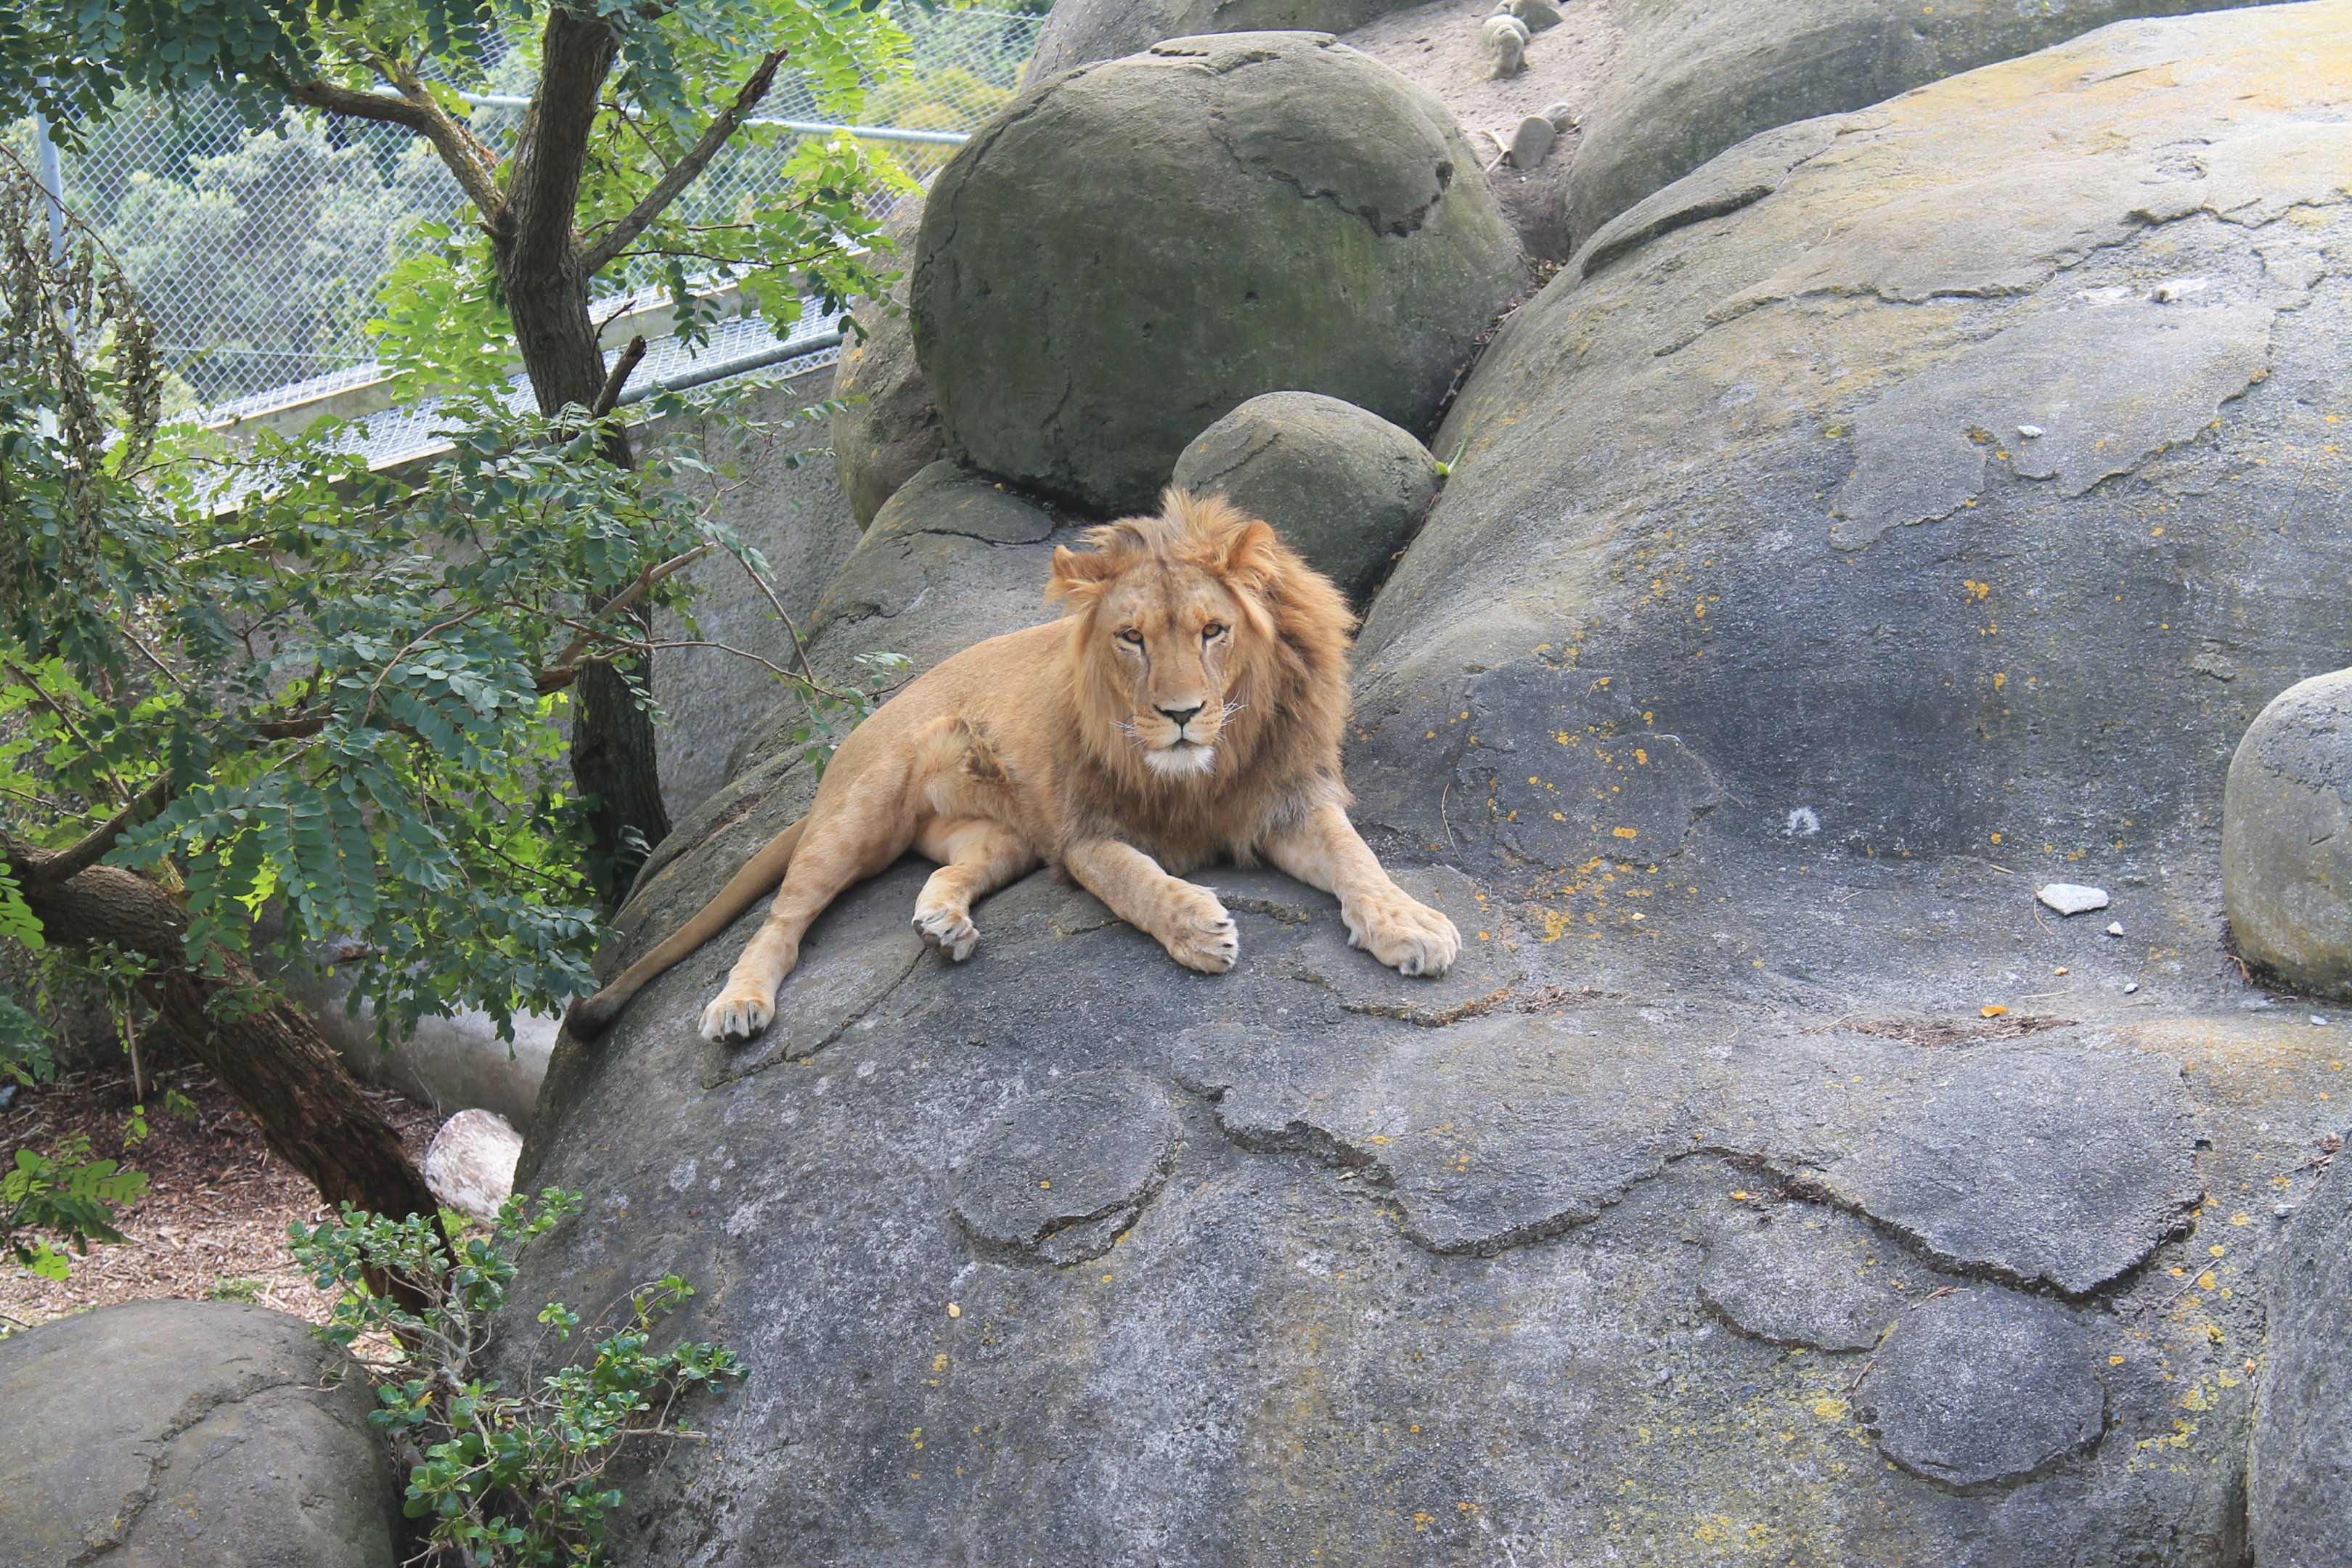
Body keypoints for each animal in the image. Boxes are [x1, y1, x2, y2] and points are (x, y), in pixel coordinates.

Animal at [564, 488, 1461, 1045]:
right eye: (1131, 639)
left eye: (1214, 631)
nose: (1179, 716)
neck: (1207, 767)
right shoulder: (1081, 835)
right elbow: (1134, 880)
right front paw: (1195, 928)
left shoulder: (1284, 798)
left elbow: (1357, 858)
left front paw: (1410, 924)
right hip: (860, 814)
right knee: (780, 922)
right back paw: (740, 1003)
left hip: (1000, 838)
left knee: (946, 871)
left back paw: (945, 924)